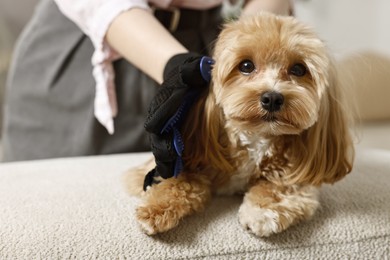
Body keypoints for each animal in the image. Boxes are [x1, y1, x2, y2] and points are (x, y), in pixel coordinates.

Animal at [124, 13, 354, 238]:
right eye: (246, 66)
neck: (255, 137)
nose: (272, 98)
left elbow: (279, 190)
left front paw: (262, 211)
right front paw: (155, 209)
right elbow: (179, 182)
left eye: (298, 69)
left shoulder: (294, 177)